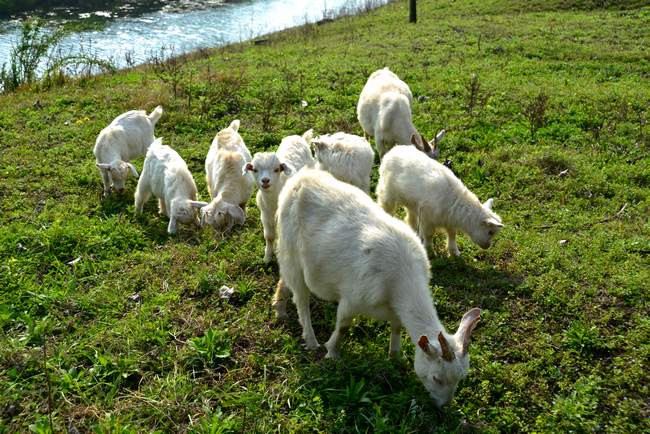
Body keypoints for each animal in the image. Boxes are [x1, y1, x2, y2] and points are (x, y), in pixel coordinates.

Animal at [243, 129, 314, 262]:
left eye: (276, 169)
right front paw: (267, 257)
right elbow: (269, 236)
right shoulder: (265, 215)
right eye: (255, 170)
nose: (265, 180)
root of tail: (299, 138)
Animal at [270, 168, 478, 408]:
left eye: (461, 378)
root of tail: (299, 178)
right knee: (301, 298)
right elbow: (343, 326)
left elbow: (397, 328)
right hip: (292, 250)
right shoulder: (352, 299)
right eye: (436, 378)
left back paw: (279, 308)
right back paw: (311, 340)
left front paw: (395, 357)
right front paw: (332, 353)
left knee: (285, 279)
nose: (443, 406)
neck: (401, 277)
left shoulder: (395, 309)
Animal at [374, 146, 502, 256]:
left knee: (410, 217)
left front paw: (454, 252)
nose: (487, 246)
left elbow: (452, 234)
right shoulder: (427, 219)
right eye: (490, 232)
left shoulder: (449, 221)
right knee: (385, 206)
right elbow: (429, 235)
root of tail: (394, 149)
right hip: (387, 192)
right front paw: (429, 251)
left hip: (411, 202)